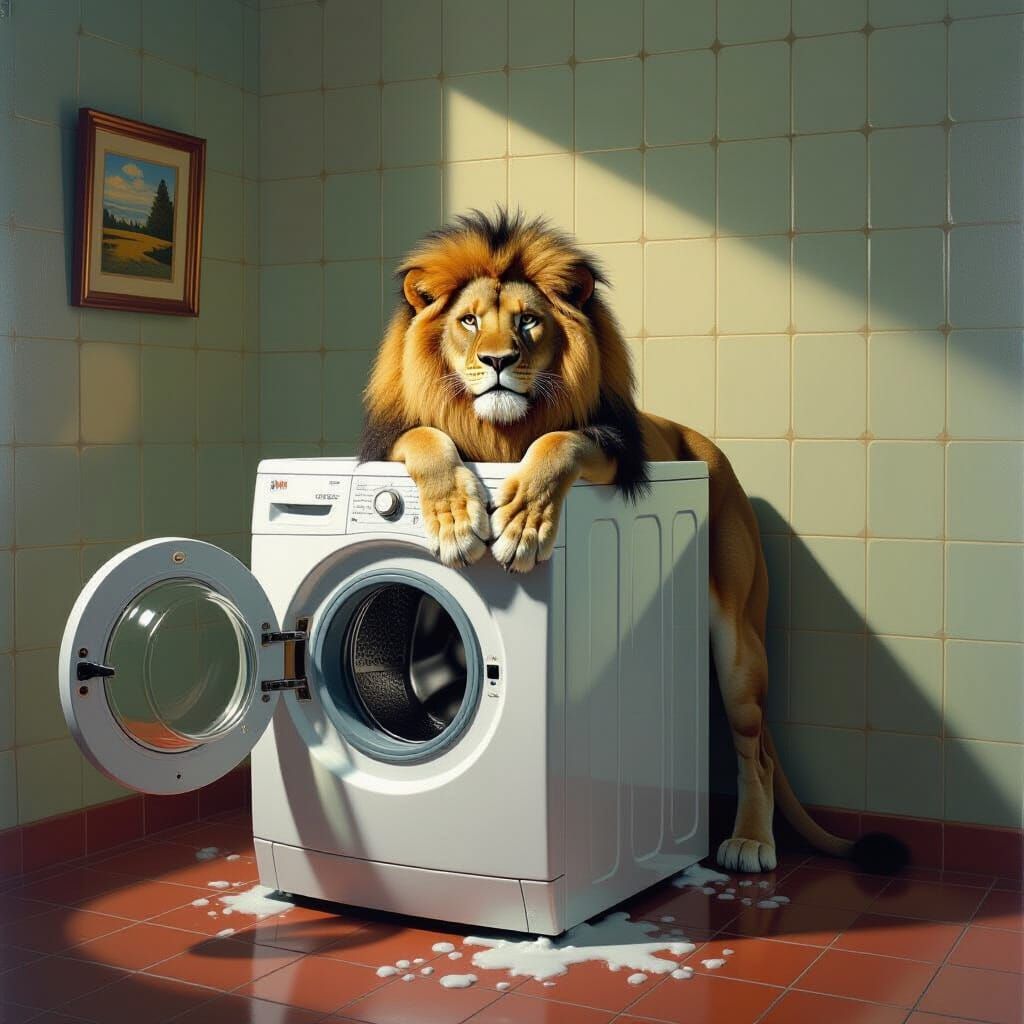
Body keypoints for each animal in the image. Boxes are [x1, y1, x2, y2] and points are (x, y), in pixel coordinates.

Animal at [360, 209, 906, 874]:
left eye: (527, 320)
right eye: (468, 321)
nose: (497, 360)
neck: (502, 434)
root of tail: (711, 450)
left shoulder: (615, 446)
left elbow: (559, 441)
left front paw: (521, 522)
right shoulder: (393, 442)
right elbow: (426, 438)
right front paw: (456, 519)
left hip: (738, 646)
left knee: (758, 754)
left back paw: (751, 841)